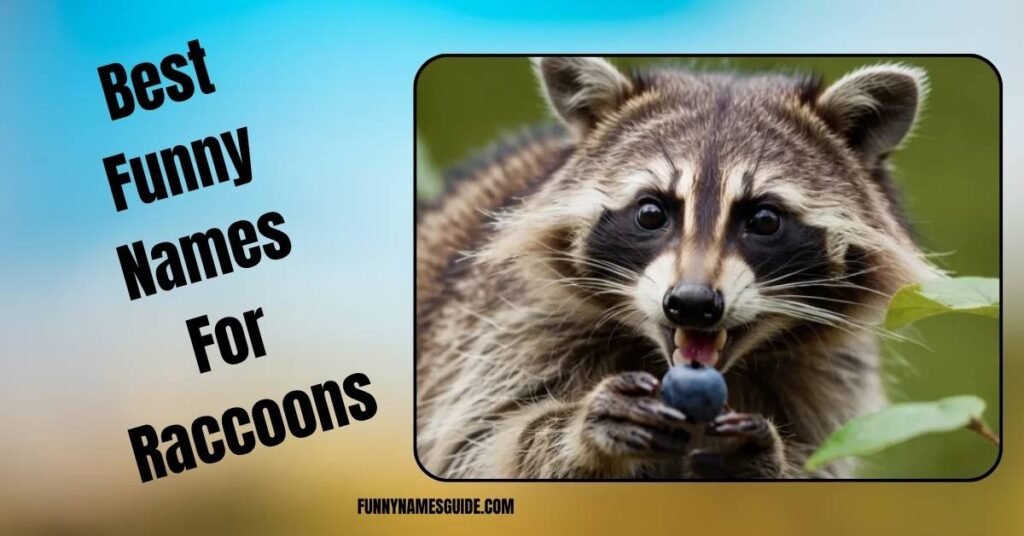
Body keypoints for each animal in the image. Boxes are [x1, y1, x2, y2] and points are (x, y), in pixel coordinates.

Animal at [416, 57, 940, 479]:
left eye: (764, 220)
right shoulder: (504, 330)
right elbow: (478, 446)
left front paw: (764, 458)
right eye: (651, 213)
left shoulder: (829, 379)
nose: (692, 303)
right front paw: (576, 432)